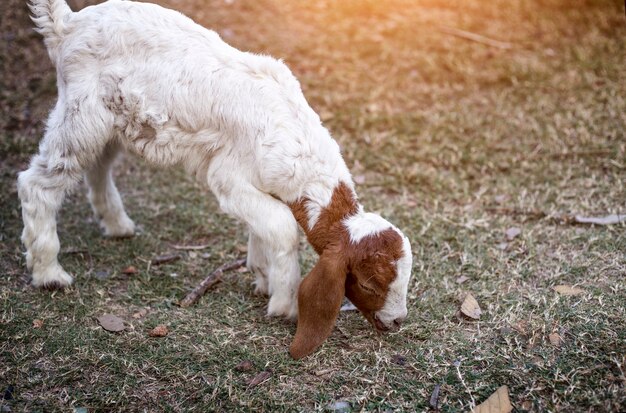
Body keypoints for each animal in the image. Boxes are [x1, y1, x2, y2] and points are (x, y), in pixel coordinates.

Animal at [19, 0, 412, 358]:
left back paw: (117, 225)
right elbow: (282, 227)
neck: (302, 151)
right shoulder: (229, 178)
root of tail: (68, 23)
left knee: (98, 167)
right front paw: (284, 303)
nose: (397, 321)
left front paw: (262, 276)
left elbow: (263, 229)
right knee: (37, 183)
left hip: (114, 122)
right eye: (369, 283)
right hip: (82, 116)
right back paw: (49, 273)